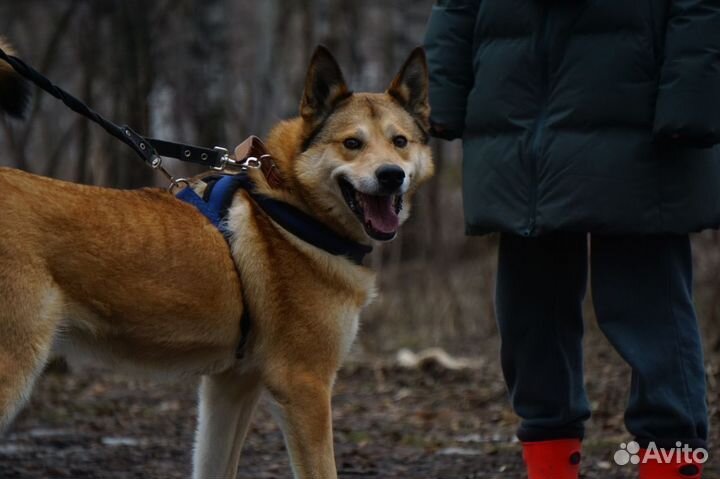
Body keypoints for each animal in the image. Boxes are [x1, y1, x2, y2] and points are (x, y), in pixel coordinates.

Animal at [0, 42, 434, 479]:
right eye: (352, 143)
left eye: (400, 141)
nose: (391, 175)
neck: (292, 207)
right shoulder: (303, 385)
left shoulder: (231, 385)